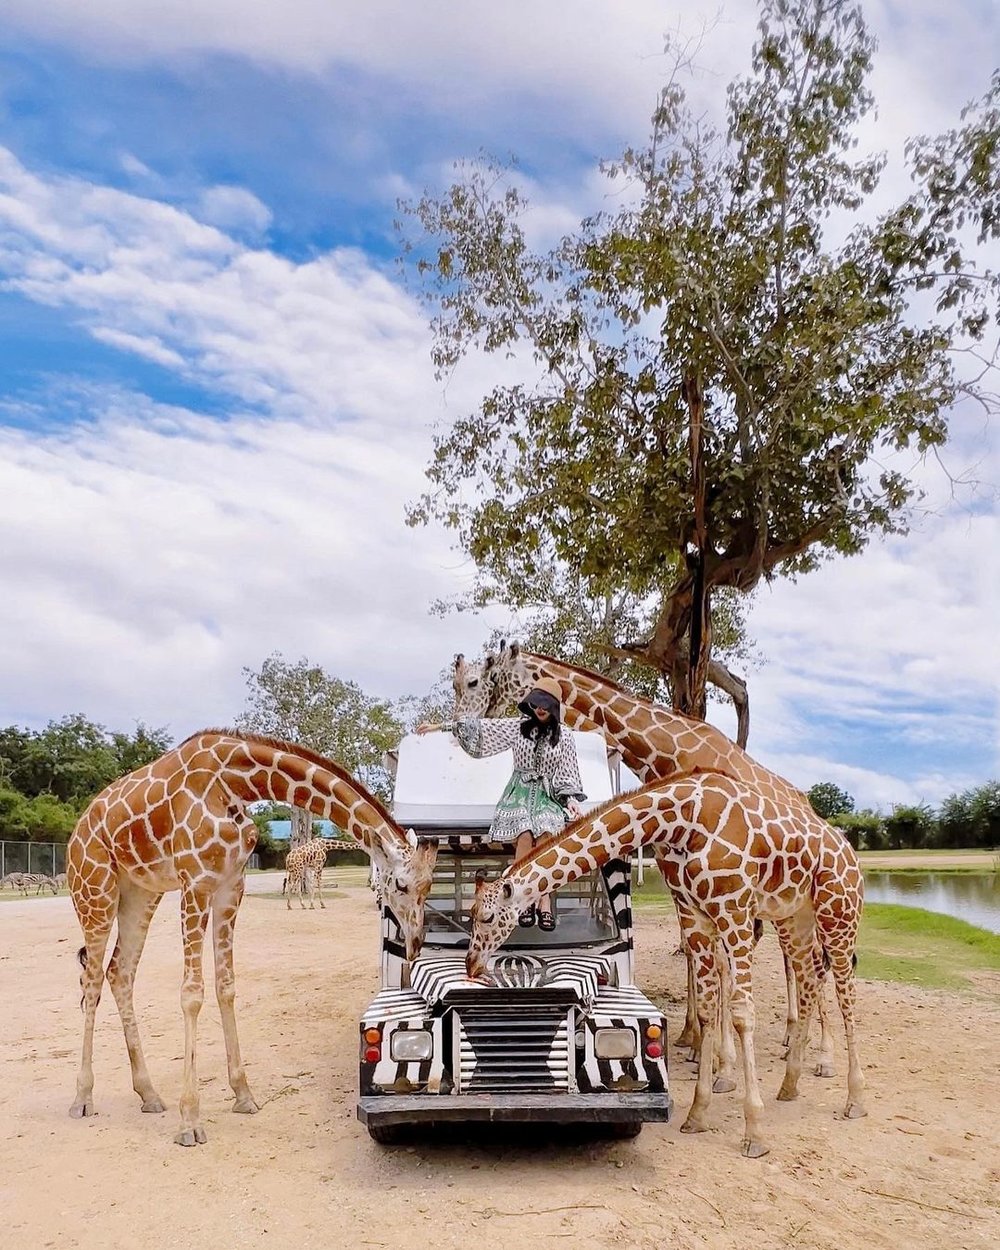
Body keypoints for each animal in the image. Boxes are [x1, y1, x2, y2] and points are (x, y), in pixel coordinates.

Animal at [65, 730, 432, 1145]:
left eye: (428, 885)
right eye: (400, 885)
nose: (415, 944)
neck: (236, 782)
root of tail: (76, 831)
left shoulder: (230, 885)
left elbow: (226, 986)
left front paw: (243, 1094)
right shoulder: (196, 881)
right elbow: (192, 994)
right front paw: (190, 1120)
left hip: (140, 892)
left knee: (120, 972)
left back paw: (149, 1094)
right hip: (94, 890)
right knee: (92, 979)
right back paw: (82, 1098)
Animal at [452, 645, 850, 1075]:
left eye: (476, 679)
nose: (460, 726)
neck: (670, 760)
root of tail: (807, 802)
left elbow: (721, 964)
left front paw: (722, 1061)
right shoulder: (678, 877)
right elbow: (696, 956)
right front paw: (695, 1041)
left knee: (815, 957)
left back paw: (822, 1052)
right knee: (796, 958)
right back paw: (791, 1035)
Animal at [470, 770, 865, 1160]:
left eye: (485, 917)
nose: (472, 965)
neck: (684, 819)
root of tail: (849, 849)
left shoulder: (735, 911)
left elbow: (742, 1013)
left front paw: (754, 1131)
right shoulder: (695, 915)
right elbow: (707, 1008)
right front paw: (697, 1113)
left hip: (838, 913)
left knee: (846, 992)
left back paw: (853, 1098)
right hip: (795, 917)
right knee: (809, 977)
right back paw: (790, 1083)